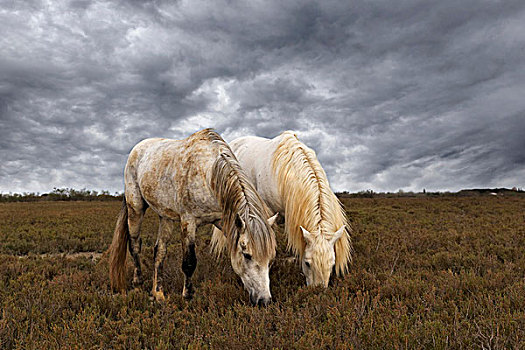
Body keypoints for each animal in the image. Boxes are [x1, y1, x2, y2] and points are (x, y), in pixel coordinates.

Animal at [110, 129, 278, 306]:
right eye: (247, 255)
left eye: (270, 258)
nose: (264, 300)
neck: (209, 174)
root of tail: (138, 148)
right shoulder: (188, 222)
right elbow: (189, 262)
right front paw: (187, 295)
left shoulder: (221, 220)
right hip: (135, 207)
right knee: (135, 245)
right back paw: (137, 284)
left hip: (166, 217)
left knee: (159, 251)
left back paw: (158, 293)